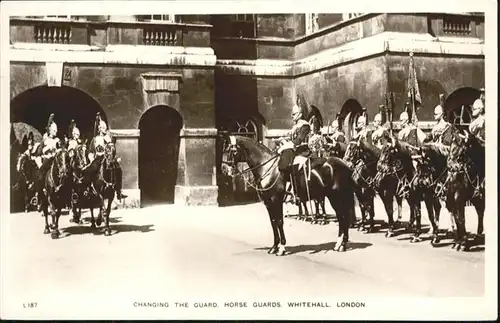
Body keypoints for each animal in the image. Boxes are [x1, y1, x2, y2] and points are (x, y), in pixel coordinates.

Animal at [222, 134, 356, 256]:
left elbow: (279, 222)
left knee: (343, 216)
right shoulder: (268, 203)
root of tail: (345, 164)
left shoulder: (276, 200)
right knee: (341, 216)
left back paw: (342, 245)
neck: (267, 168)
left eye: (231, 150)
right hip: (335, 197)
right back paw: (339, 244)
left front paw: (281, 248)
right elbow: (273, 222)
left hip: (337, 196)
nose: (224, 169)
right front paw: (274, 247)